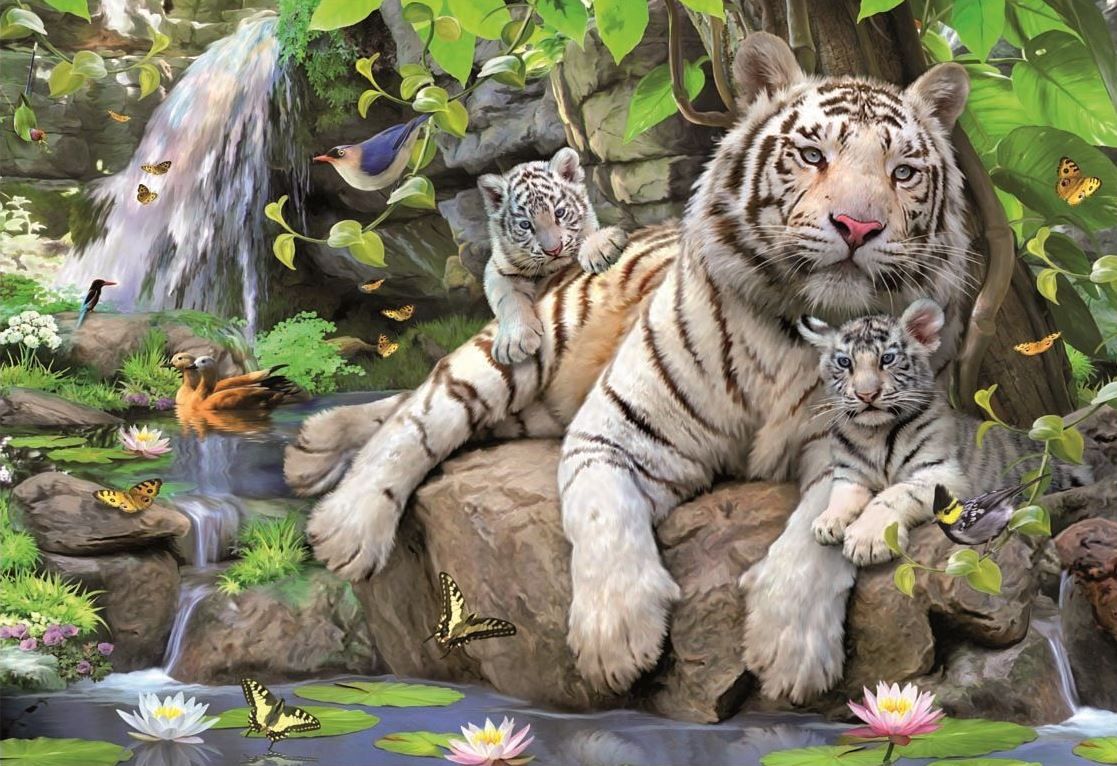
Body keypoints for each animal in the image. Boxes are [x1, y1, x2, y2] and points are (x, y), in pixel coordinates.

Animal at [479, 147, 628, 364]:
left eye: (559, 213)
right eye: (525, 225)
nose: (554, 250)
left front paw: (600, 248)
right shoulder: (497, 268)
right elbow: (507, 298)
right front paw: (514, 342)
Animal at [800, 299, 1091, 557]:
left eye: (887, 358)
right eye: (845, 363)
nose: (866, 395)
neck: (874, 433)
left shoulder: (941, 473)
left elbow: (892, 494)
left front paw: (866, 541)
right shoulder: (850, 473)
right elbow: (842, 494)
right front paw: (827, 522)